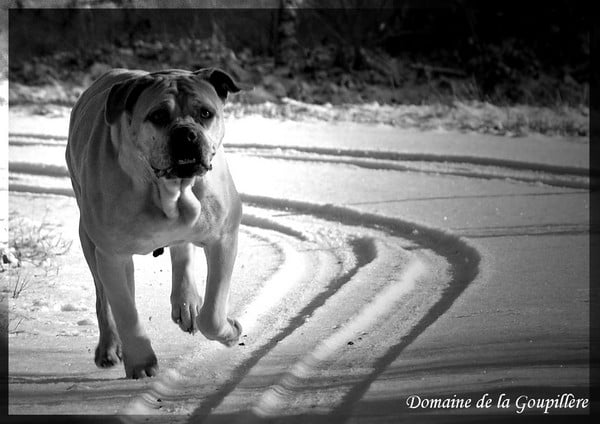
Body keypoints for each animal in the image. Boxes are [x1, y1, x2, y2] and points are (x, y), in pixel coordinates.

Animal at [66, 68, 245, 378]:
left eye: (205, 113)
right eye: (158, 116)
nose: (186, 133)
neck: (169, 189)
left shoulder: (224, 236)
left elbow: (213, 312)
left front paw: (229, 331)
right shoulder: (112, 255)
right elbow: (126, 312)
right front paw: (142, 363)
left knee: (182, 251)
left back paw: (187, 303)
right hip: (89, 240)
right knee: (104, 299)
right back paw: (109, 348)